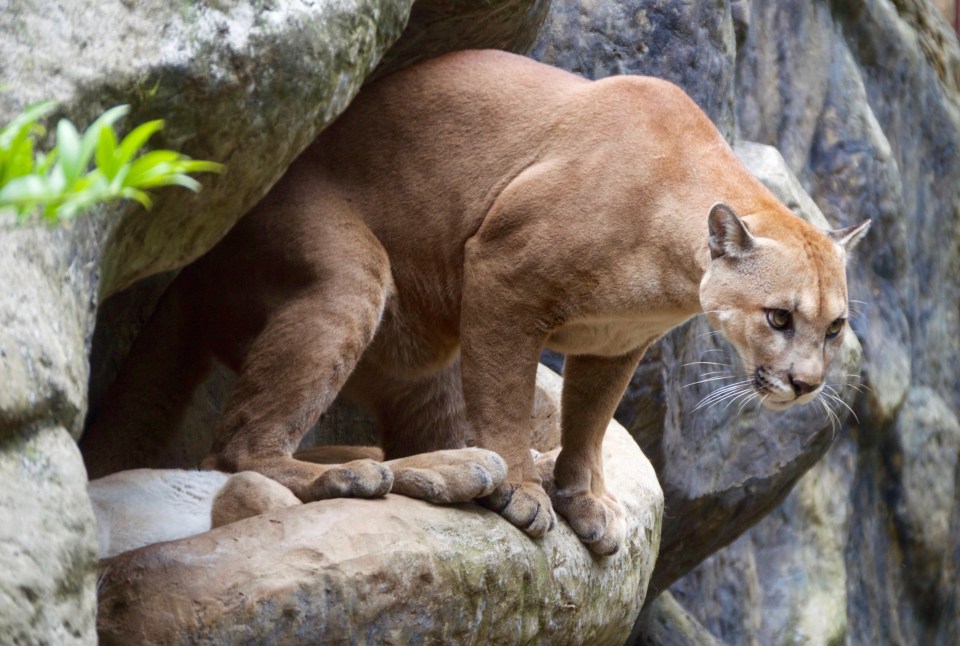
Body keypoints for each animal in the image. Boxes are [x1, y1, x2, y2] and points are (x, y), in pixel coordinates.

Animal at [82, 50, 868, 556]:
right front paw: (526, 490)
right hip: (349, 276)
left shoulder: (614, 342)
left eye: (834, 328)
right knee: (237, 447)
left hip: (425, 355)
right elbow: (507, 399)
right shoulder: (503, 277)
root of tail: (191, 267)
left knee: (396, 439)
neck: (669, 264)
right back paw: (377, 475)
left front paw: (582, 497)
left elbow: (588, 421)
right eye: (779, 317)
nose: (805, 384)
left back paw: (452, 470)